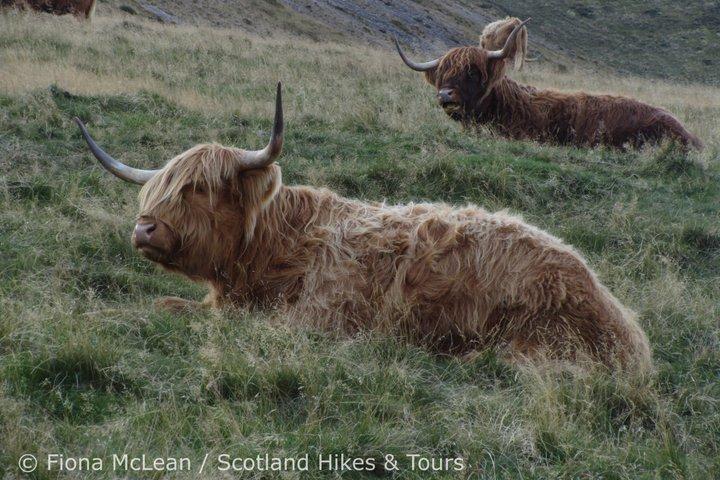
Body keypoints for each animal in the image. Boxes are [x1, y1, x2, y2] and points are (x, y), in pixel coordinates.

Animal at [75, 83, 651, 371]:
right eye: (154, 191)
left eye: (196, 189)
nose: (144, 230)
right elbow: (166, 305)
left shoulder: (321, 319)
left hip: (536, 338)